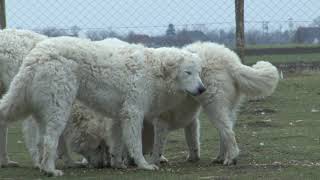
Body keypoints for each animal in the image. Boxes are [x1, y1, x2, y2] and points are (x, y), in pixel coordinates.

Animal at [0, 35, 205, 176]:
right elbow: (135, 144)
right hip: (59, 109)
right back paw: (51, 171)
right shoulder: (133, 113)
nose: (202, 89)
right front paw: (144, 165)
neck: (154, 70)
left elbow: (117, 143)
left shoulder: (118, 116)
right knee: (50, 140)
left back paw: (45, 168)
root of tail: (37, 54)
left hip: (42, 110)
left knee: (42, 141)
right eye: (188, 72)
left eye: (199, 72)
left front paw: (118, 164)